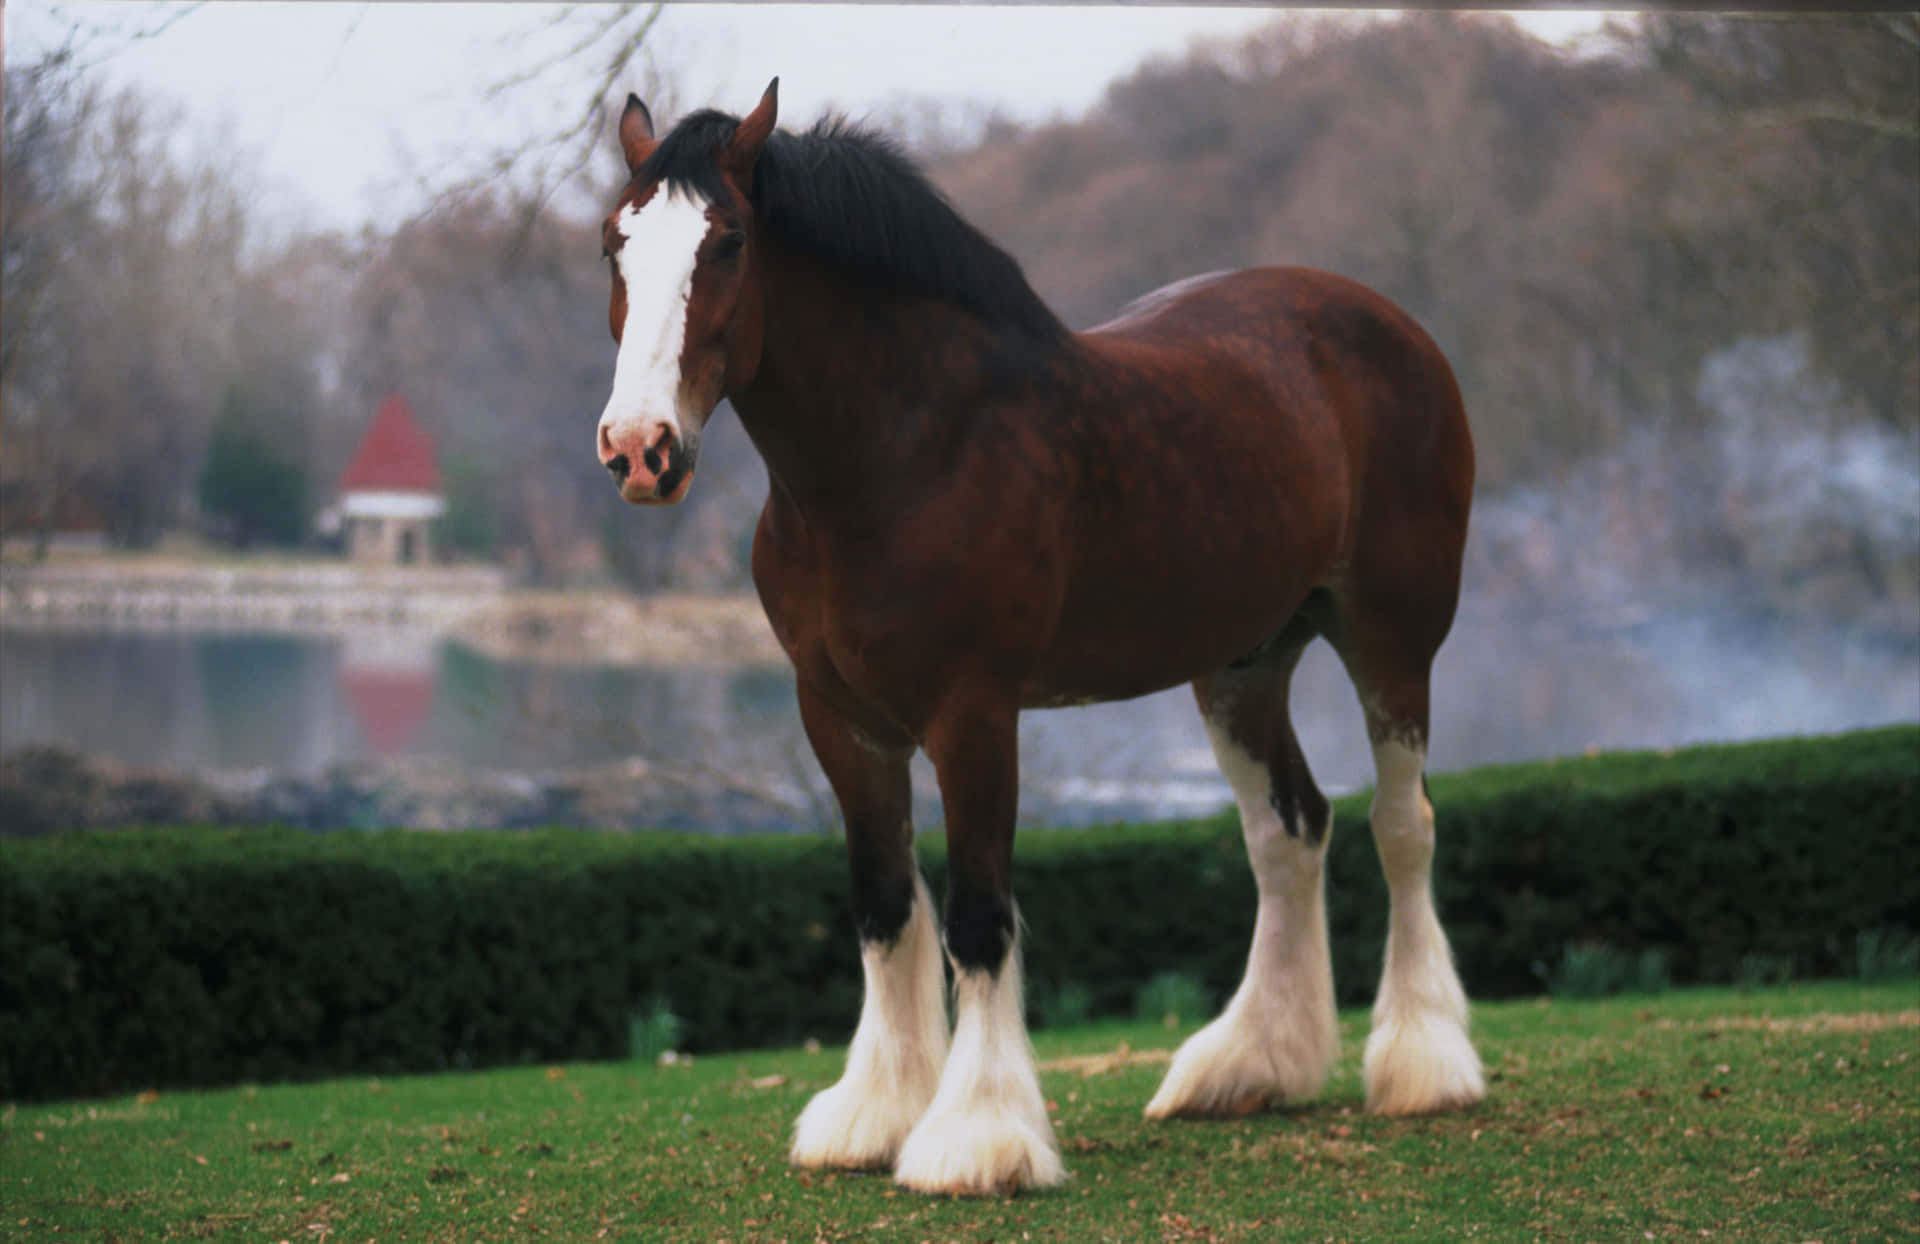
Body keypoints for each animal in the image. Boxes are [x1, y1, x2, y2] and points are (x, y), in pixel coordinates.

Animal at [594, 81, 1485, 1196]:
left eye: (728, 243)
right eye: (614, 244)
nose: (640, 449)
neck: (903, 450)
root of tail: (1393, 325)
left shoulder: (973, 712)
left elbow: (979, 914)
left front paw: (977, 1135)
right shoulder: (839, 716)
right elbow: (884, 905)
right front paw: (874, 1113)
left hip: (1393, 638)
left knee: (1403, 824)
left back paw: (1423, 1062)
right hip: (1243, 665)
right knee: (1290, 830)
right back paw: (1249, 1065)